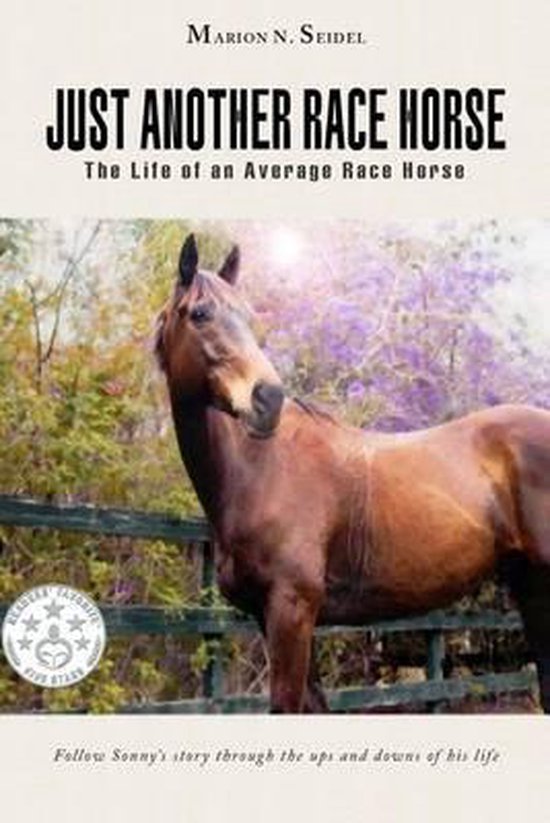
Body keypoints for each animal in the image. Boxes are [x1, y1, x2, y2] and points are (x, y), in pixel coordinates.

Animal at [155, 233, 550, 713]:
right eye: (199, 314)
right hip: (532, 588)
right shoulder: (276, 618)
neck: (260, 471)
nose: (268, 399)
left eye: (247, 316)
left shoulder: (292, 609)